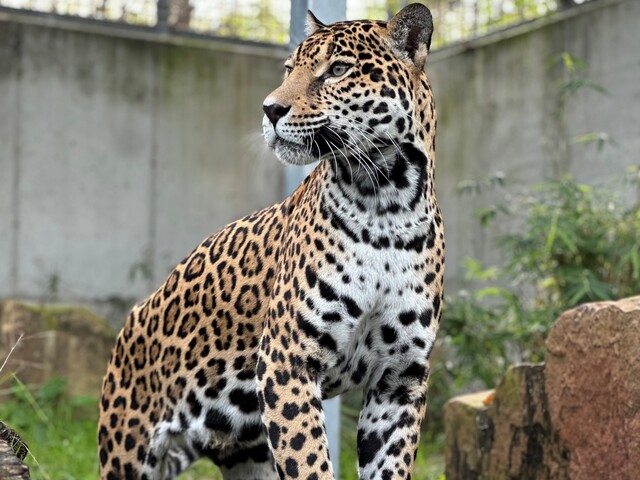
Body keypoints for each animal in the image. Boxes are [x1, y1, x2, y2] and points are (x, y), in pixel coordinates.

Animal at [98, 3, 444, 479]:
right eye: (288, 68)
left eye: (338, 70)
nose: (270, 109)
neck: (387, 202)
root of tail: (132, 319)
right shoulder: (288, 360)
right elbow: (309, 459)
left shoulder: (399, 379)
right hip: (128, 450)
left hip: (247, 453)